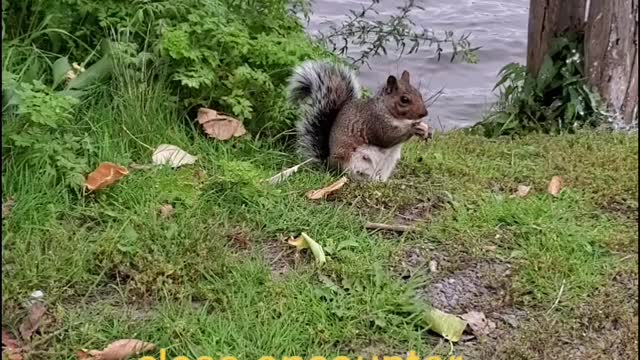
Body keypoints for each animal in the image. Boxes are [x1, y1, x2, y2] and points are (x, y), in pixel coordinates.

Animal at [288, 60, 430, 183]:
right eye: (404, 99)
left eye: (419, 94)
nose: (425, 113)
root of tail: (328, 165)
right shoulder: (374, 122)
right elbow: (387, 137)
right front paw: (413, 127)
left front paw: (425, 129)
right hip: (352, 162)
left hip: (388, 164)